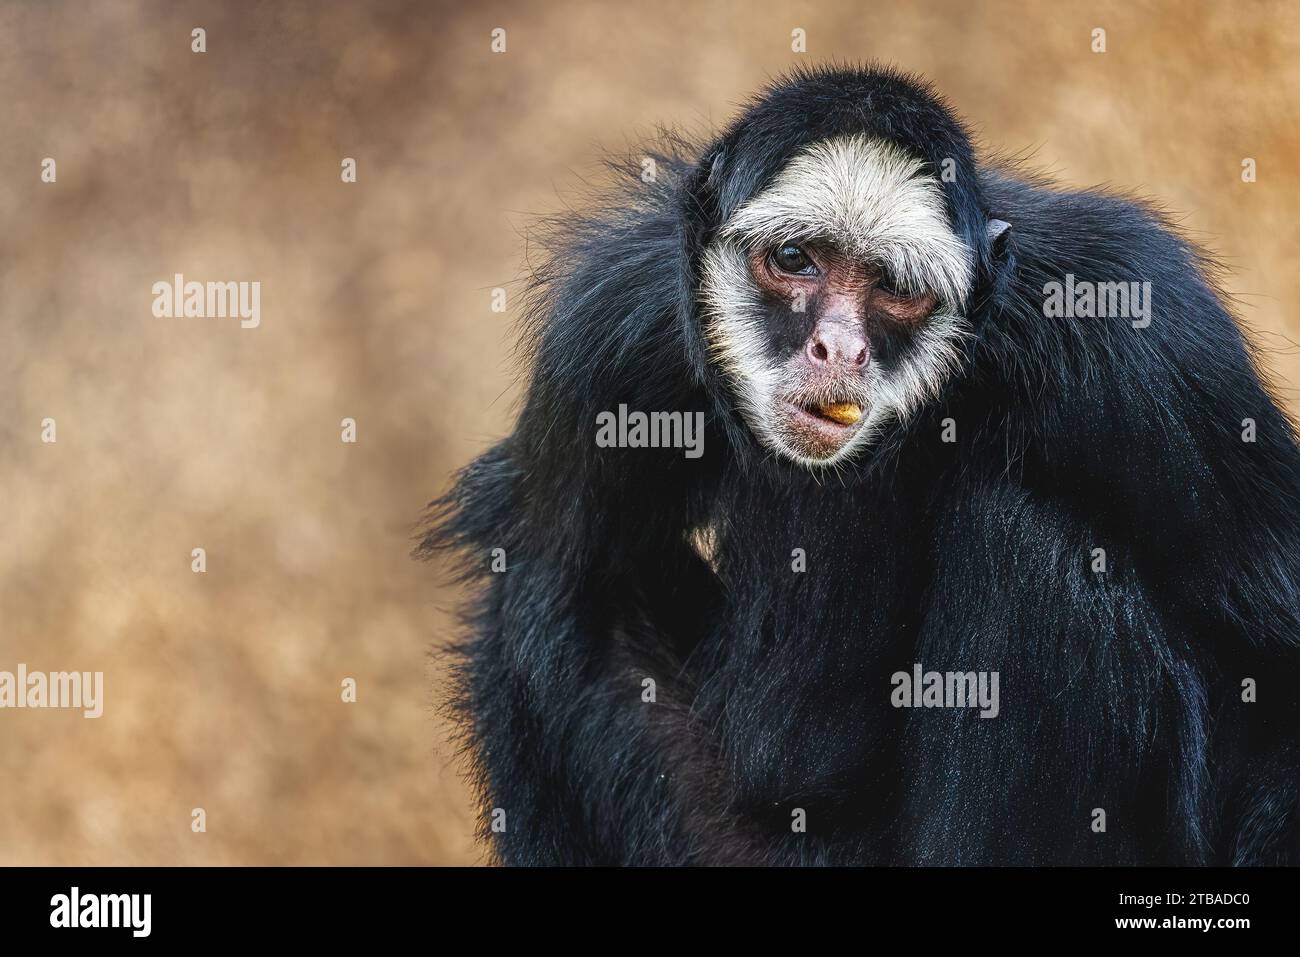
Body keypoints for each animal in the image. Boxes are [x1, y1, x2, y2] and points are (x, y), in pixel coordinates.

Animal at [421, 65, 1300, 865]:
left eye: (893, 285)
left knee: (1030, 546)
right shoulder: (608, 324)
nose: (837, 346)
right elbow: (547, 563)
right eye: (795, 259)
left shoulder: (1144, 334)